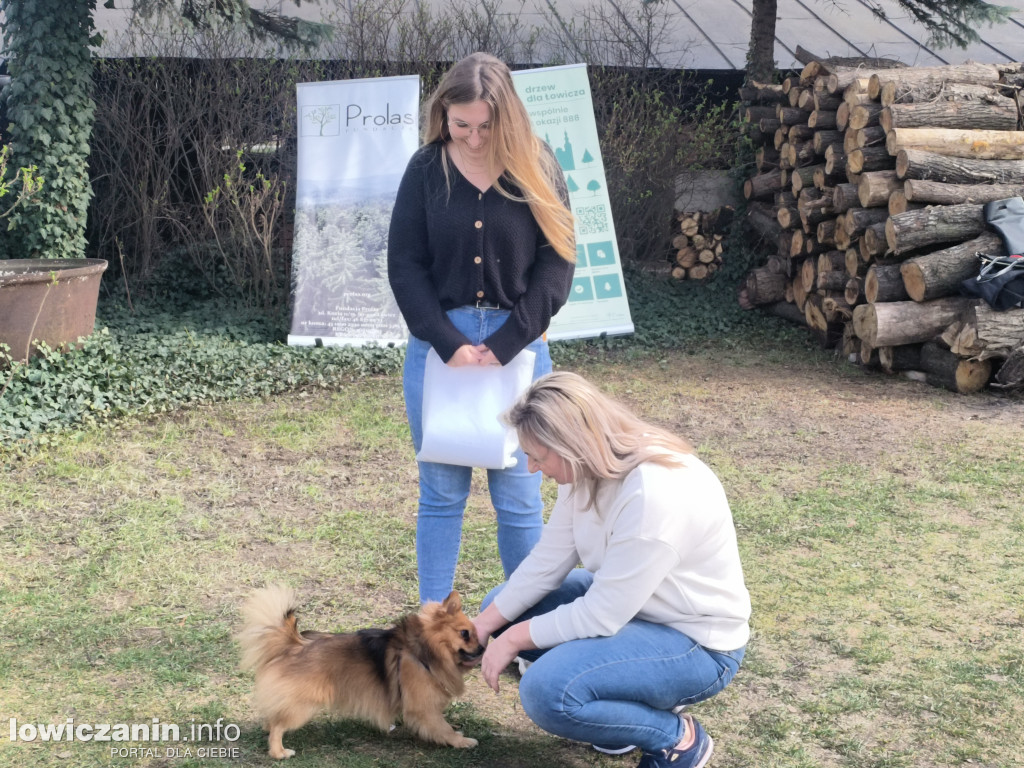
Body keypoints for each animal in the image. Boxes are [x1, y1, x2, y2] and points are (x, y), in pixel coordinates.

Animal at [237, 589, 485, 757]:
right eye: (465, 634)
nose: (483, 648)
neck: (423, 649)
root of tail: (294, 644)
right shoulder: (423, 707)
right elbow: (442, 727)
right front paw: (462, 741)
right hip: (302, 707)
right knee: (278, 727)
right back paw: (279, 752)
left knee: (273, 718)